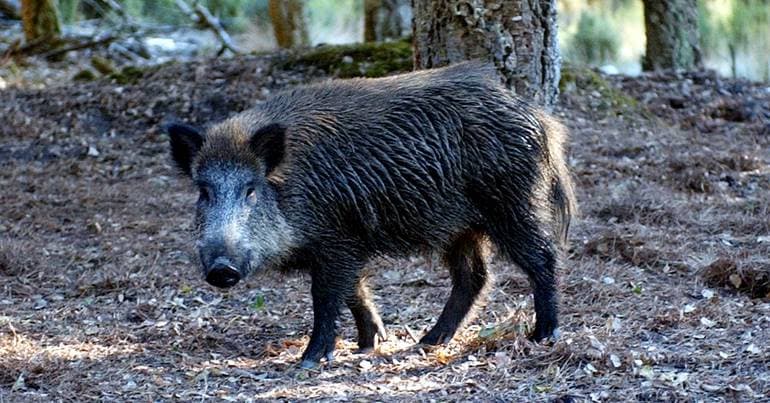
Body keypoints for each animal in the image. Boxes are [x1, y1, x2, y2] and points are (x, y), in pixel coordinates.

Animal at [167, 61, 576, 369]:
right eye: (203, 191)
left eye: (251, 189)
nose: (221, 269)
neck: (289, 186)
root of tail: (542, 119)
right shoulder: (344, 243)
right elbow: (355, 291)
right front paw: (371, 343)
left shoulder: (336, 239)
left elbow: (327, 297)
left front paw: (310, 360)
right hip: (461, 227)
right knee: (474, 277)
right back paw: (427, 342)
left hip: (512, 204)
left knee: (542, 258)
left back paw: (544, 335)